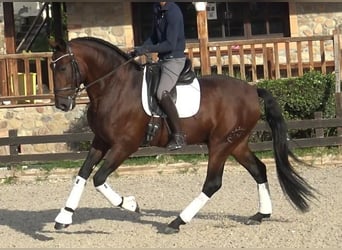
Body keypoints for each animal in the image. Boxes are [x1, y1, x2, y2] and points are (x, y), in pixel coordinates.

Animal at [48, 36, 316, 234]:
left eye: (63, 67)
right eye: (51, 68)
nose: (62, 105)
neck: (115, 87)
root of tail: (252, 89)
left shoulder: (125, 145)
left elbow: (99, 178)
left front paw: (131, 204)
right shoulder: (101, 141)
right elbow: (83, 173)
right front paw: (64, 217)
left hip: (220, 144)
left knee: (212, 183)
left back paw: (176, 222)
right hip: (236, 143)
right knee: (258, 170)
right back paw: (261, 214)